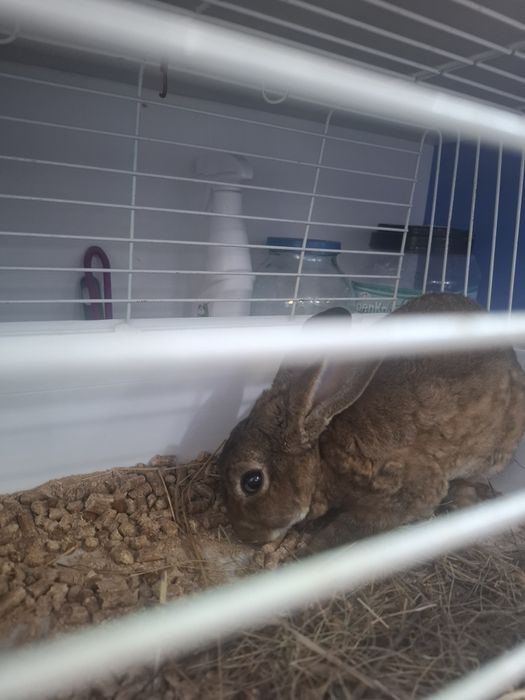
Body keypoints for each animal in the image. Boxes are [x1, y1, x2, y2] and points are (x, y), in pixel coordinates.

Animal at [218, 293, 525, 546]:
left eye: (252, 481)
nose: (247, 536)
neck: (321, 457)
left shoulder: (406, 492)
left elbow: (353, 527)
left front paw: (312, 547)